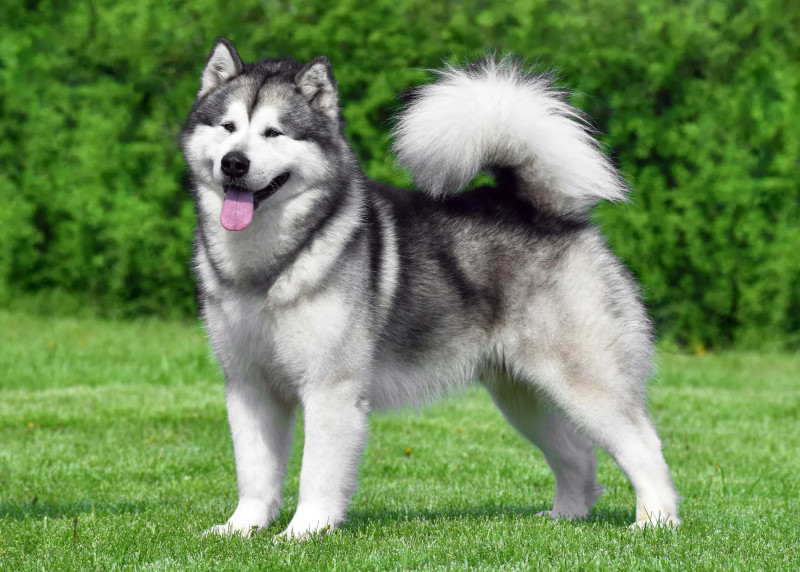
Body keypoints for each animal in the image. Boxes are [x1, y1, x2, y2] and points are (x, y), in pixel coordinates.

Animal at [181, 38, 680, 540]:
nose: (234, 163)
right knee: (578, 456)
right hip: (524, 396)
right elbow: (254, 472)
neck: (269, 264)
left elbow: (316, 474)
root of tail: (545, 212)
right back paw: (565, 516)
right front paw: (242, 528)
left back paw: (655, 521)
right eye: (228, 127)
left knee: (645, 446)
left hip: (584, 383)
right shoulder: (249, 386)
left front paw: (304, 532)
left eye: (274, 133)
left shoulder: (330, 388)